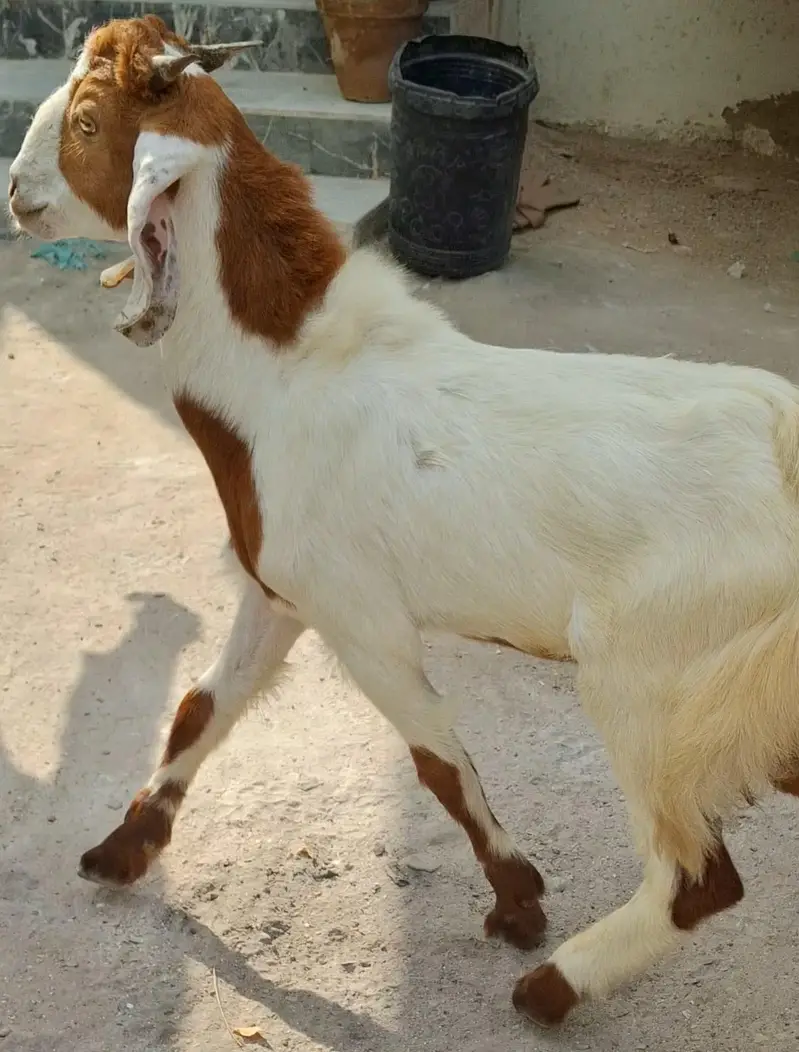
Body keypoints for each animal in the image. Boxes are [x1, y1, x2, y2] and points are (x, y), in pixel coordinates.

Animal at [9, 15, 799, 1028]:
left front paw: (519, 907)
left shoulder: (361, 620)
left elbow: (439, 763)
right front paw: (120, 851)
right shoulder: (280, 594)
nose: (17, 195)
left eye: (88, 121)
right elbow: (199, 709)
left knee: (698, 879)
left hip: (651, 681)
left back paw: (549, 990)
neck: (289, 372)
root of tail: (780, 443)